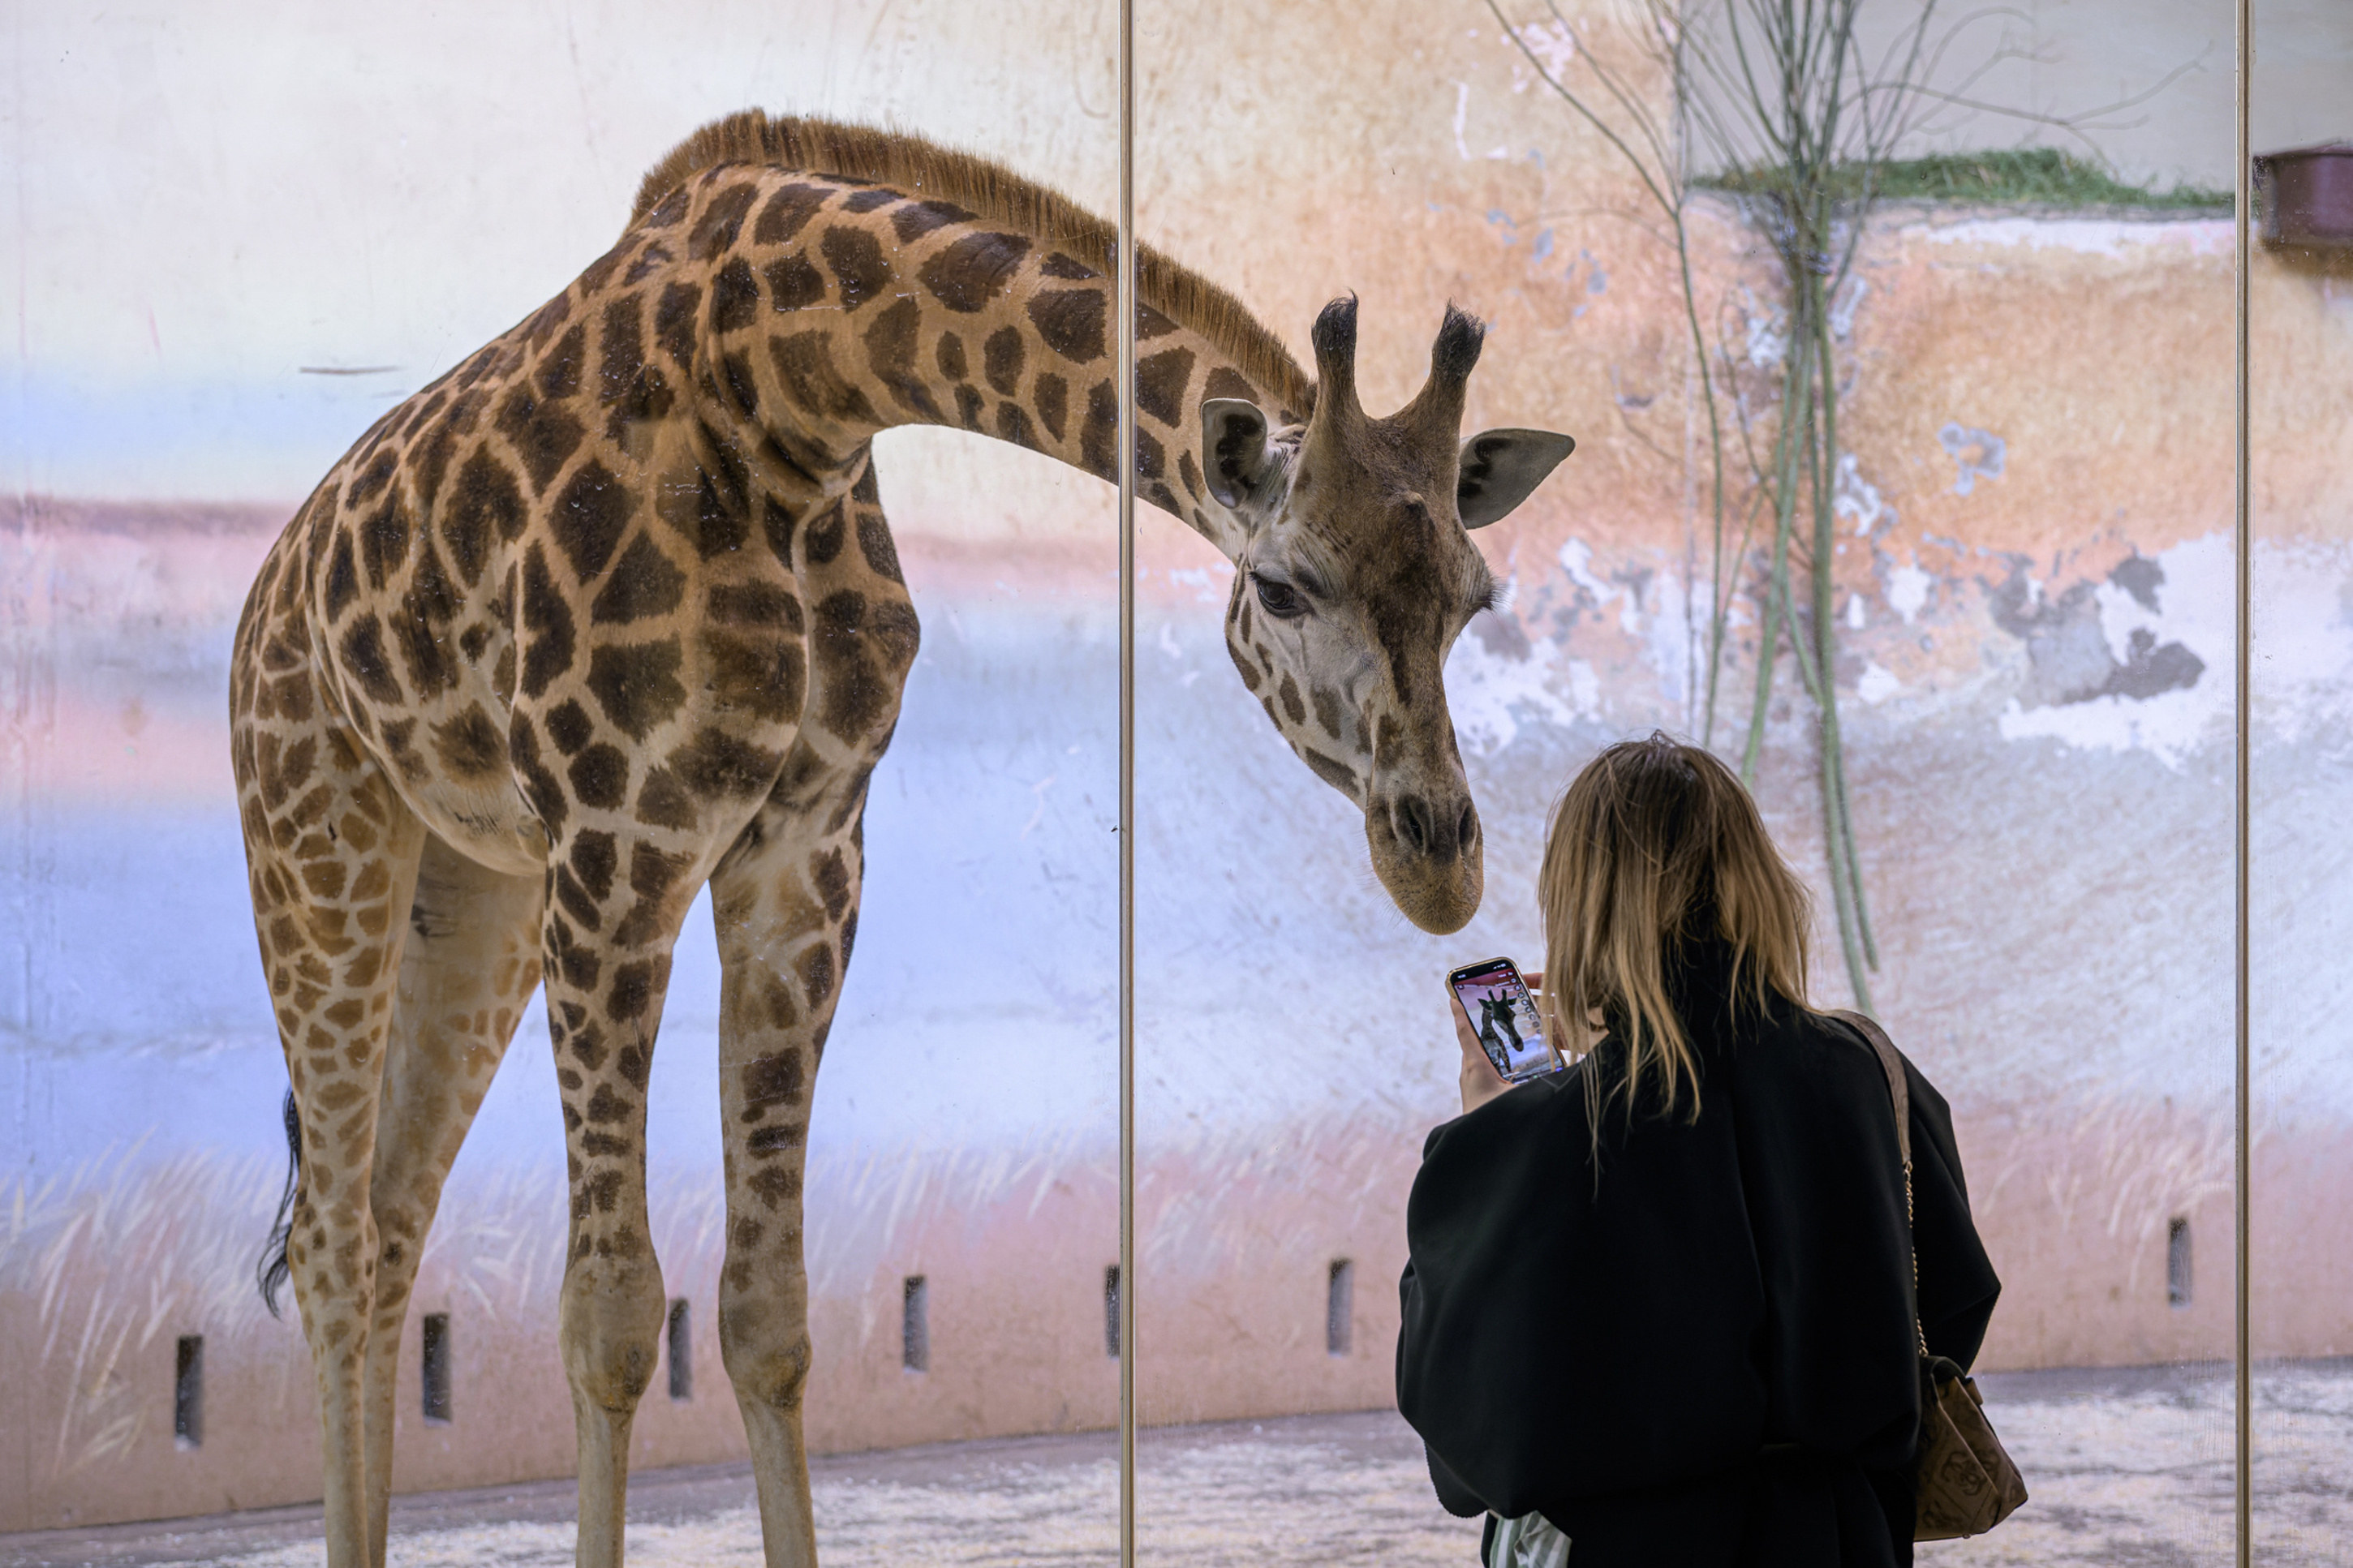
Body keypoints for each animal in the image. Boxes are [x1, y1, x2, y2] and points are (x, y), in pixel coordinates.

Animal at [228, 110, 1574, 1568]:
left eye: (1475, 599)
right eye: (1280, 586)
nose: (1440, 863)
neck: (789, 392)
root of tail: (267, 594)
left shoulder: (803, 857)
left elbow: (767, 1314)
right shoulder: (618, 843)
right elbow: (611, 1315)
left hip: (472, 895)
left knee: (385, 1218)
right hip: (320, 848)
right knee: (329, 1243)